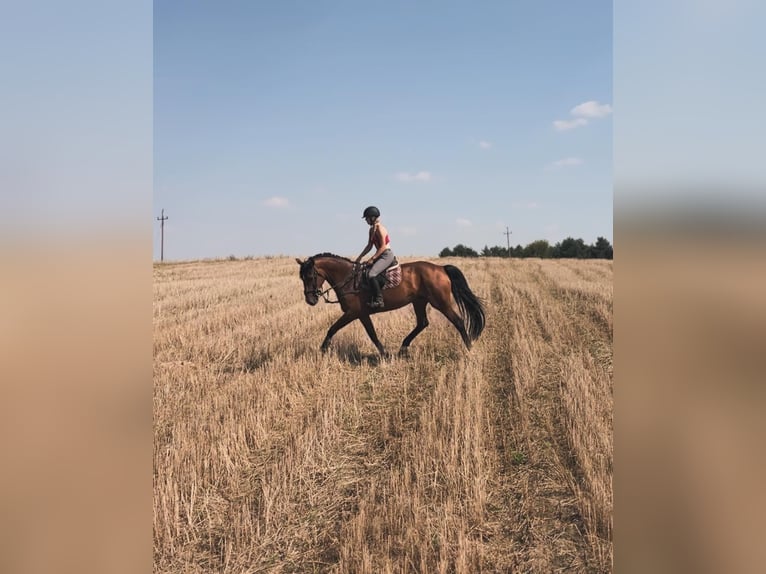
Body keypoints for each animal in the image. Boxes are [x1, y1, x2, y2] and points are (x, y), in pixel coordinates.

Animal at [296, 254, 486, 358]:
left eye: (310, 276)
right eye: (302, 278)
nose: (310, 300)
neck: (348, 279)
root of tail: (441, 268)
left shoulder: (352, 313)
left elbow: (332, 329)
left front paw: (322, 350)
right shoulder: (362, 314)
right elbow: (372, 334)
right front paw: (385, 354)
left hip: (440, 302)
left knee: (458, 321)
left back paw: (469, 349)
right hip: (419, 301)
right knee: (422, 323)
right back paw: (403, 347)